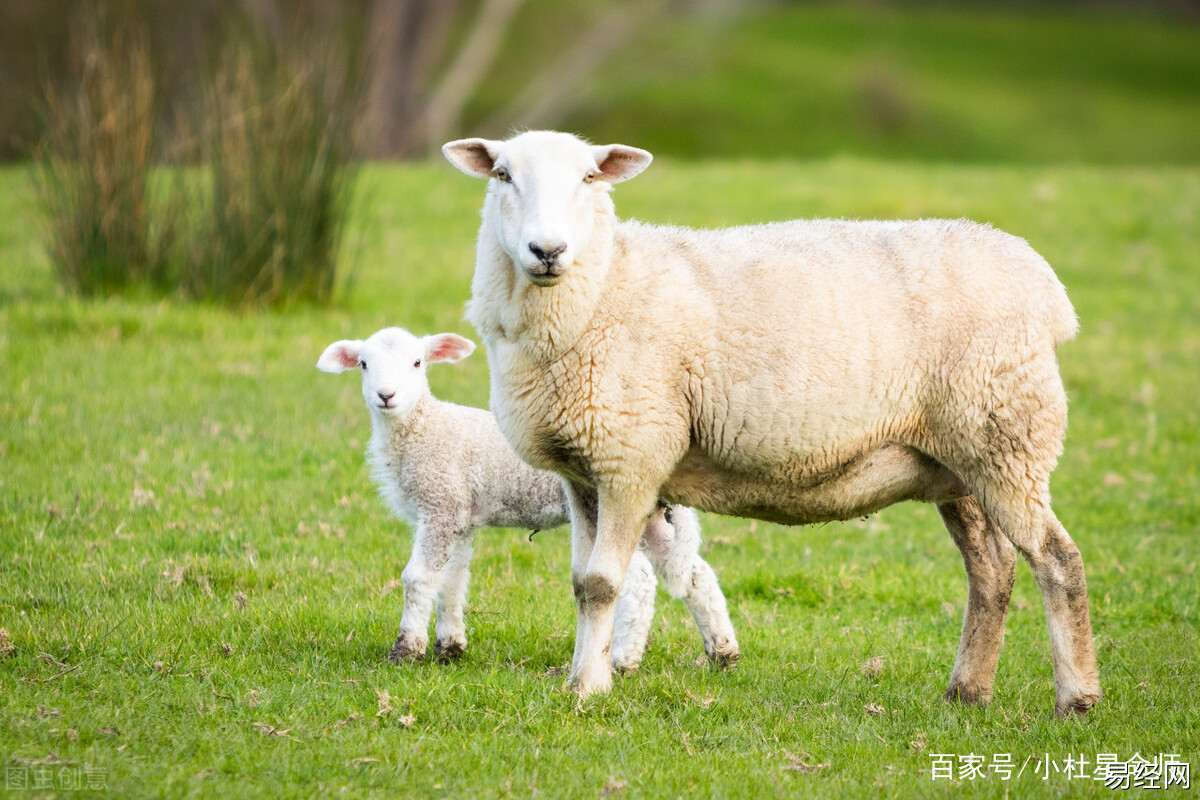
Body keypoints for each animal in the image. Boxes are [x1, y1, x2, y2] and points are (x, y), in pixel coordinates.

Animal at [314, 326, 734, 671]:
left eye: (417, 362)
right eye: (364, 364)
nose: (386, 396)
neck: (424, 428)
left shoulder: (441, 505)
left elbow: (417, 578)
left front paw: (406, 651)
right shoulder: (460, 515)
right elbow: (452, 581)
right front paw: (450, 648)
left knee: (640, 582)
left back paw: (622, 660)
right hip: (653, 516)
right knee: (695, 574)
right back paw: (723, 652)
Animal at [444, 128, 1099, 714]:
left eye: (588, 178)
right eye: (502, 175)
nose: (547, 251)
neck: (606, 286)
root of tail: (1044, 285)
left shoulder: (631, 458)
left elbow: (604, 583)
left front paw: (587, 689)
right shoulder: (582, 473)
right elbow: (583, 583)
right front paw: (586, 675)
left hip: (1006, 436)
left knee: (1056, 560)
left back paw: (1076, 699)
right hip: (958, 461)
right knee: (992, 570)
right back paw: (967, 693)